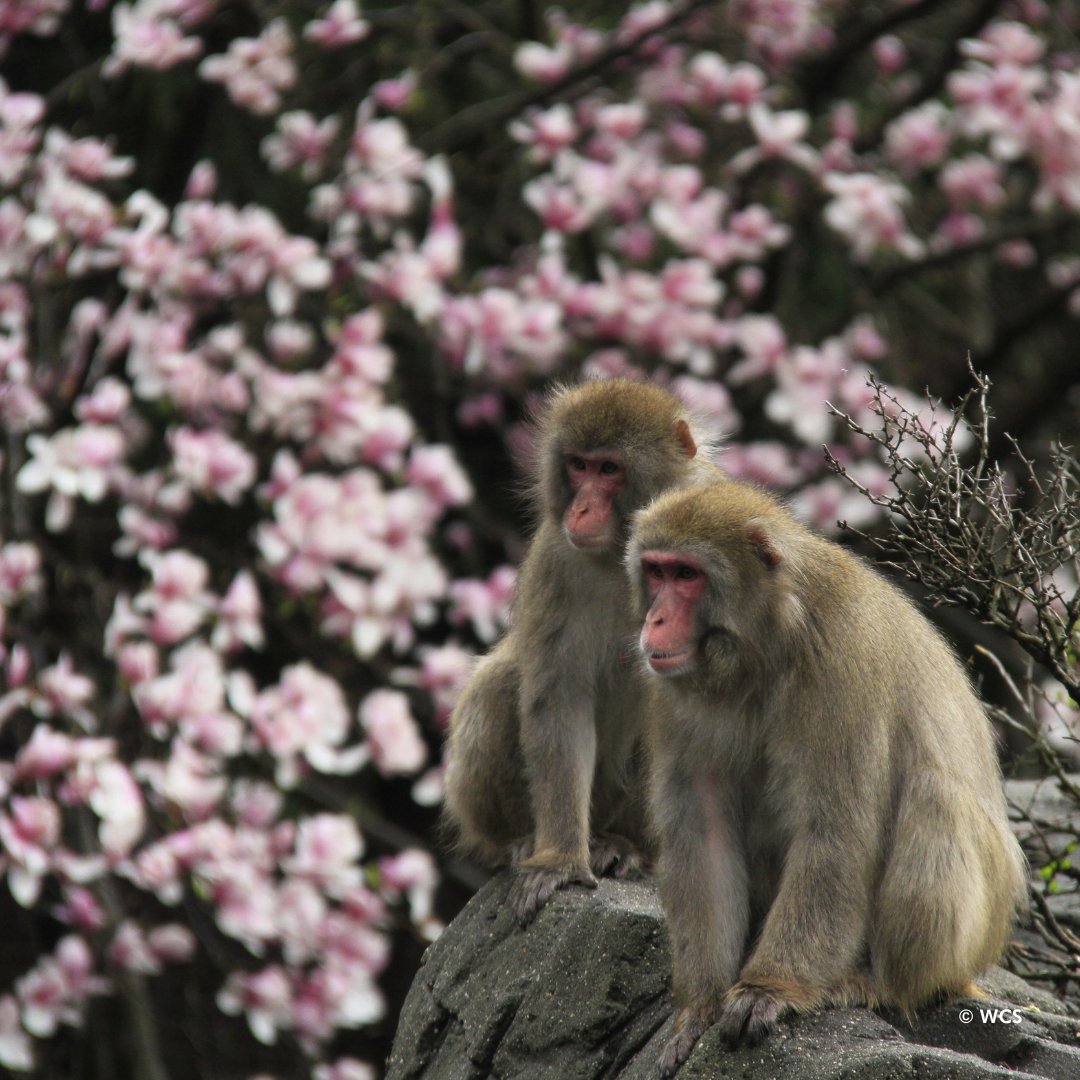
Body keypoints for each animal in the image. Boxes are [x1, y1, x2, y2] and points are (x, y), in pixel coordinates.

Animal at [442, 375, 721, 924]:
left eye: (609, 469)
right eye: (578, 465)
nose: (582, 508)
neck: (623, 556)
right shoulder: (554, 559)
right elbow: (558, 702)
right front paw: (560, 859)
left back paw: (625, 844)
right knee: (497, 686)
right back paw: (523, 840)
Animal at [630, 479, 1023, 1071]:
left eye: (686, 575)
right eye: (656, 572)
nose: (653, 620)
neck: (763, 647)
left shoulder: (843, 659)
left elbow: (835, 834)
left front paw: (769, 988)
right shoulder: (672, 691)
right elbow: (703, 835)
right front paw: (697, 1007)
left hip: (971, 942)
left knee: (934, 797)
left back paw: (881, 985)